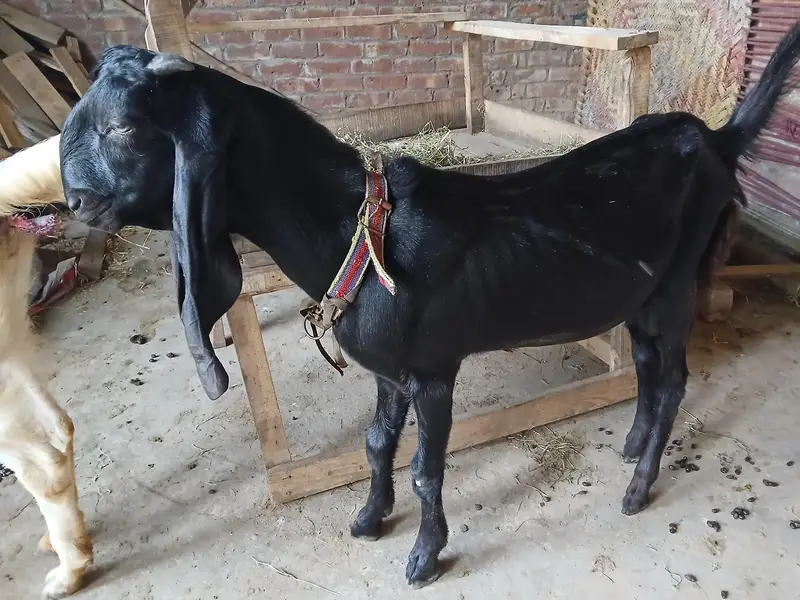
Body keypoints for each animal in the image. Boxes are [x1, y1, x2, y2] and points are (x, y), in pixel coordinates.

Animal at [53, 27, 799, 587]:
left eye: (122, 127)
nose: (76, 201)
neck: (359, 233)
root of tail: (716, 138)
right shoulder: (389, 370)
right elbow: (376, 442)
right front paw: (367, 519)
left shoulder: (435, 370)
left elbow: (425, 468)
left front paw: (422, 557)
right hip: (642, 295)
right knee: (645, 365)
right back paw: (631, 446)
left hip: (677, 283)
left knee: (672, 381)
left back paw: (638, 489)